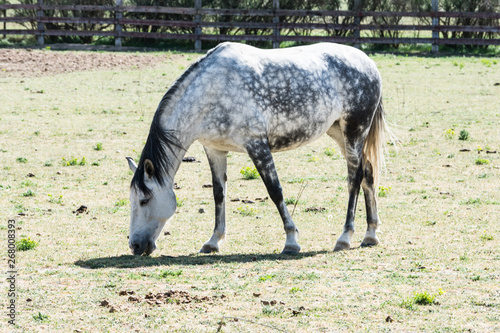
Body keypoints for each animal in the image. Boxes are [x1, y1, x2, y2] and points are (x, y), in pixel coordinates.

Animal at [124, 40, 386, 254]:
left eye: (144, 200)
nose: (135, 245)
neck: (210, 91)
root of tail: (369, 63)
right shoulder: (215, 149)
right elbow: (219, 194)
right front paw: (213, 241)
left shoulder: (257, 145)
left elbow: (275, 190)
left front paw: (291, 240)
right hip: (339, 133)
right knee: (368, 174)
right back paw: (370, 234)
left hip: (354, 132)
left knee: (354, 178)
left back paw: (345, 237)